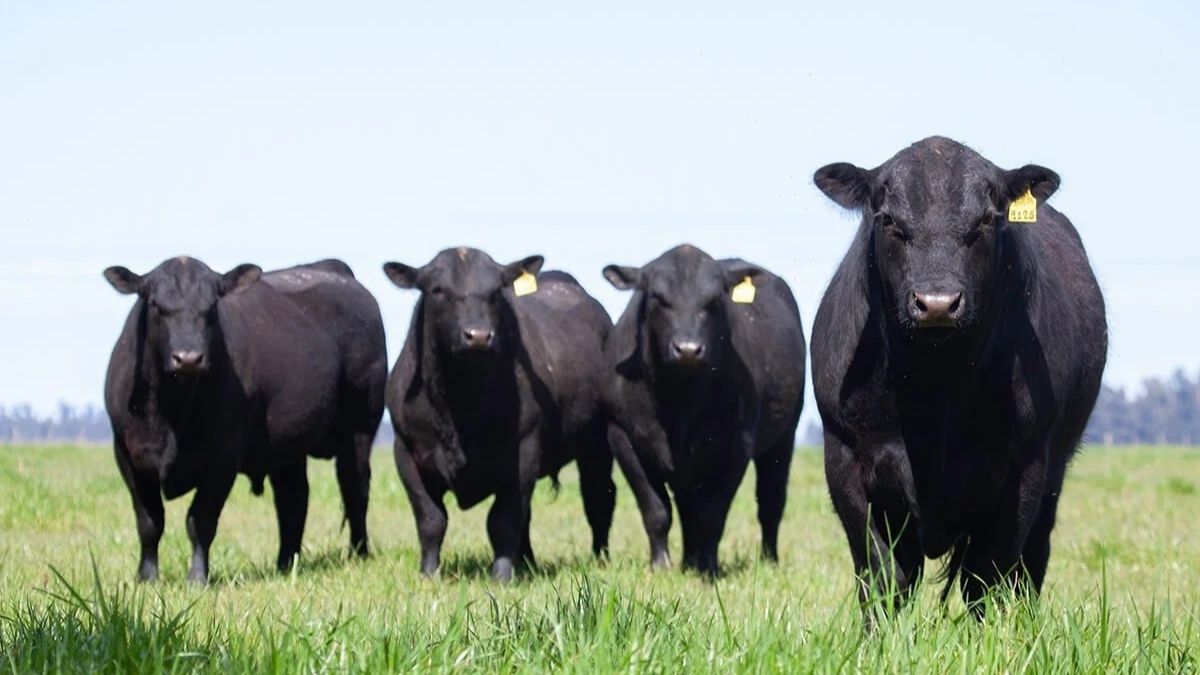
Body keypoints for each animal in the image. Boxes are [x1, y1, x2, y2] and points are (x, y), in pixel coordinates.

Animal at [103, 257, 387, 584]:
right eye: (155, 305)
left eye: (212, 307)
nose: (188, 358)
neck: (172, 411)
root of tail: (334, 269)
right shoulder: (127, 453)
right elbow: (150, 521)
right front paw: (146, 577)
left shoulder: (224, 456)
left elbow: (200, 520)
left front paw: (197, 578)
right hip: (288, 443)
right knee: (293, 498)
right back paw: (285, 562)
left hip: (360, 425)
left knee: (354, 486)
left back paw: (358, 553)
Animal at [383, 247, 615, 583]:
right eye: (438, 290)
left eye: (495, 291)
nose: (478, 336)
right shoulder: (406, 452)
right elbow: (431, 518)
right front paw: (428, 573)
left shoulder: (523, 452)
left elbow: (503, 520)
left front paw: (502, 576)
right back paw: (527, 561)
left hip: (598, 444)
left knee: (598, 498)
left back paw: (599, 559)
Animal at [602, 244, 806, 575]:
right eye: (657, 296)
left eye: (714, 299)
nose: (688, 349)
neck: (678, 401)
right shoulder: (622, 437)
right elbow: (656, 510)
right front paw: (661, 565)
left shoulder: (736, 447)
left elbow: (712, 515)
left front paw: (708, 567)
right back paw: (688, 560)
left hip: (784, 436)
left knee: (771, 502)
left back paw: (768, 560)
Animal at [810, 136, 1107, 614]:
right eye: (888, 219)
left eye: (987, 219)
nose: (936, 303)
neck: (934, 385)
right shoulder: (845, 457)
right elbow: (881, 574)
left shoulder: (1023, 465)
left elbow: (987, 576)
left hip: (1055, 473)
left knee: (1032, 561)